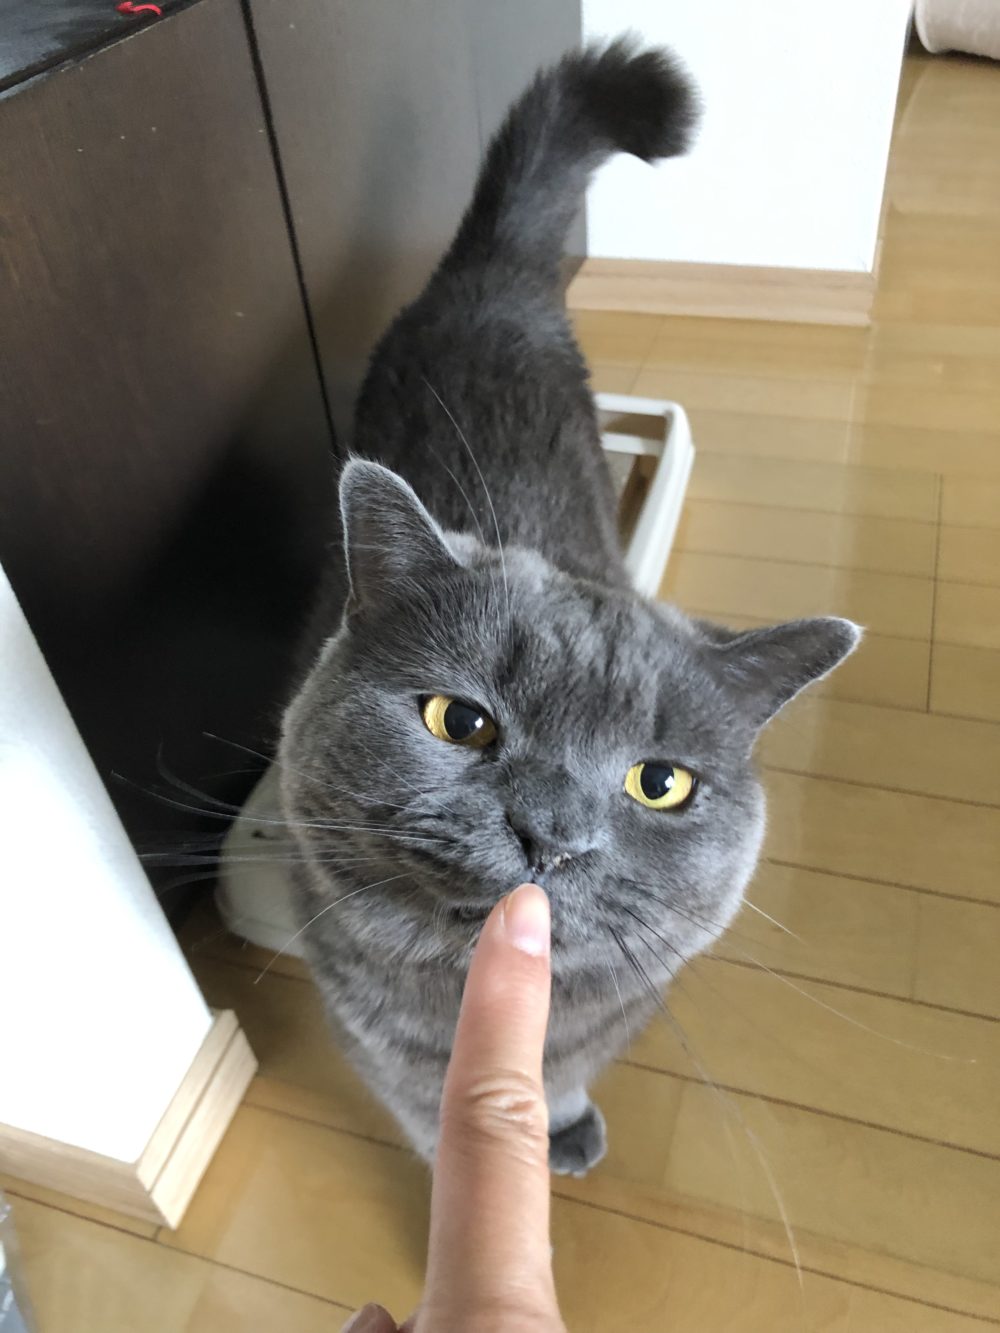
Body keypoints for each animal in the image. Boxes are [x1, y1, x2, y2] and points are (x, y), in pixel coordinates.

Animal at [278, 39, 860, 1175]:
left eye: (659, 783)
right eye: (457, 720)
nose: (549, 836)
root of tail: (493, 268)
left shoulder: (613, 1009)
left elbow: (569, 1065)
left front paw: (565, 1122)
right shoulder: (364, 1018)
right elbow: (422, 1107)